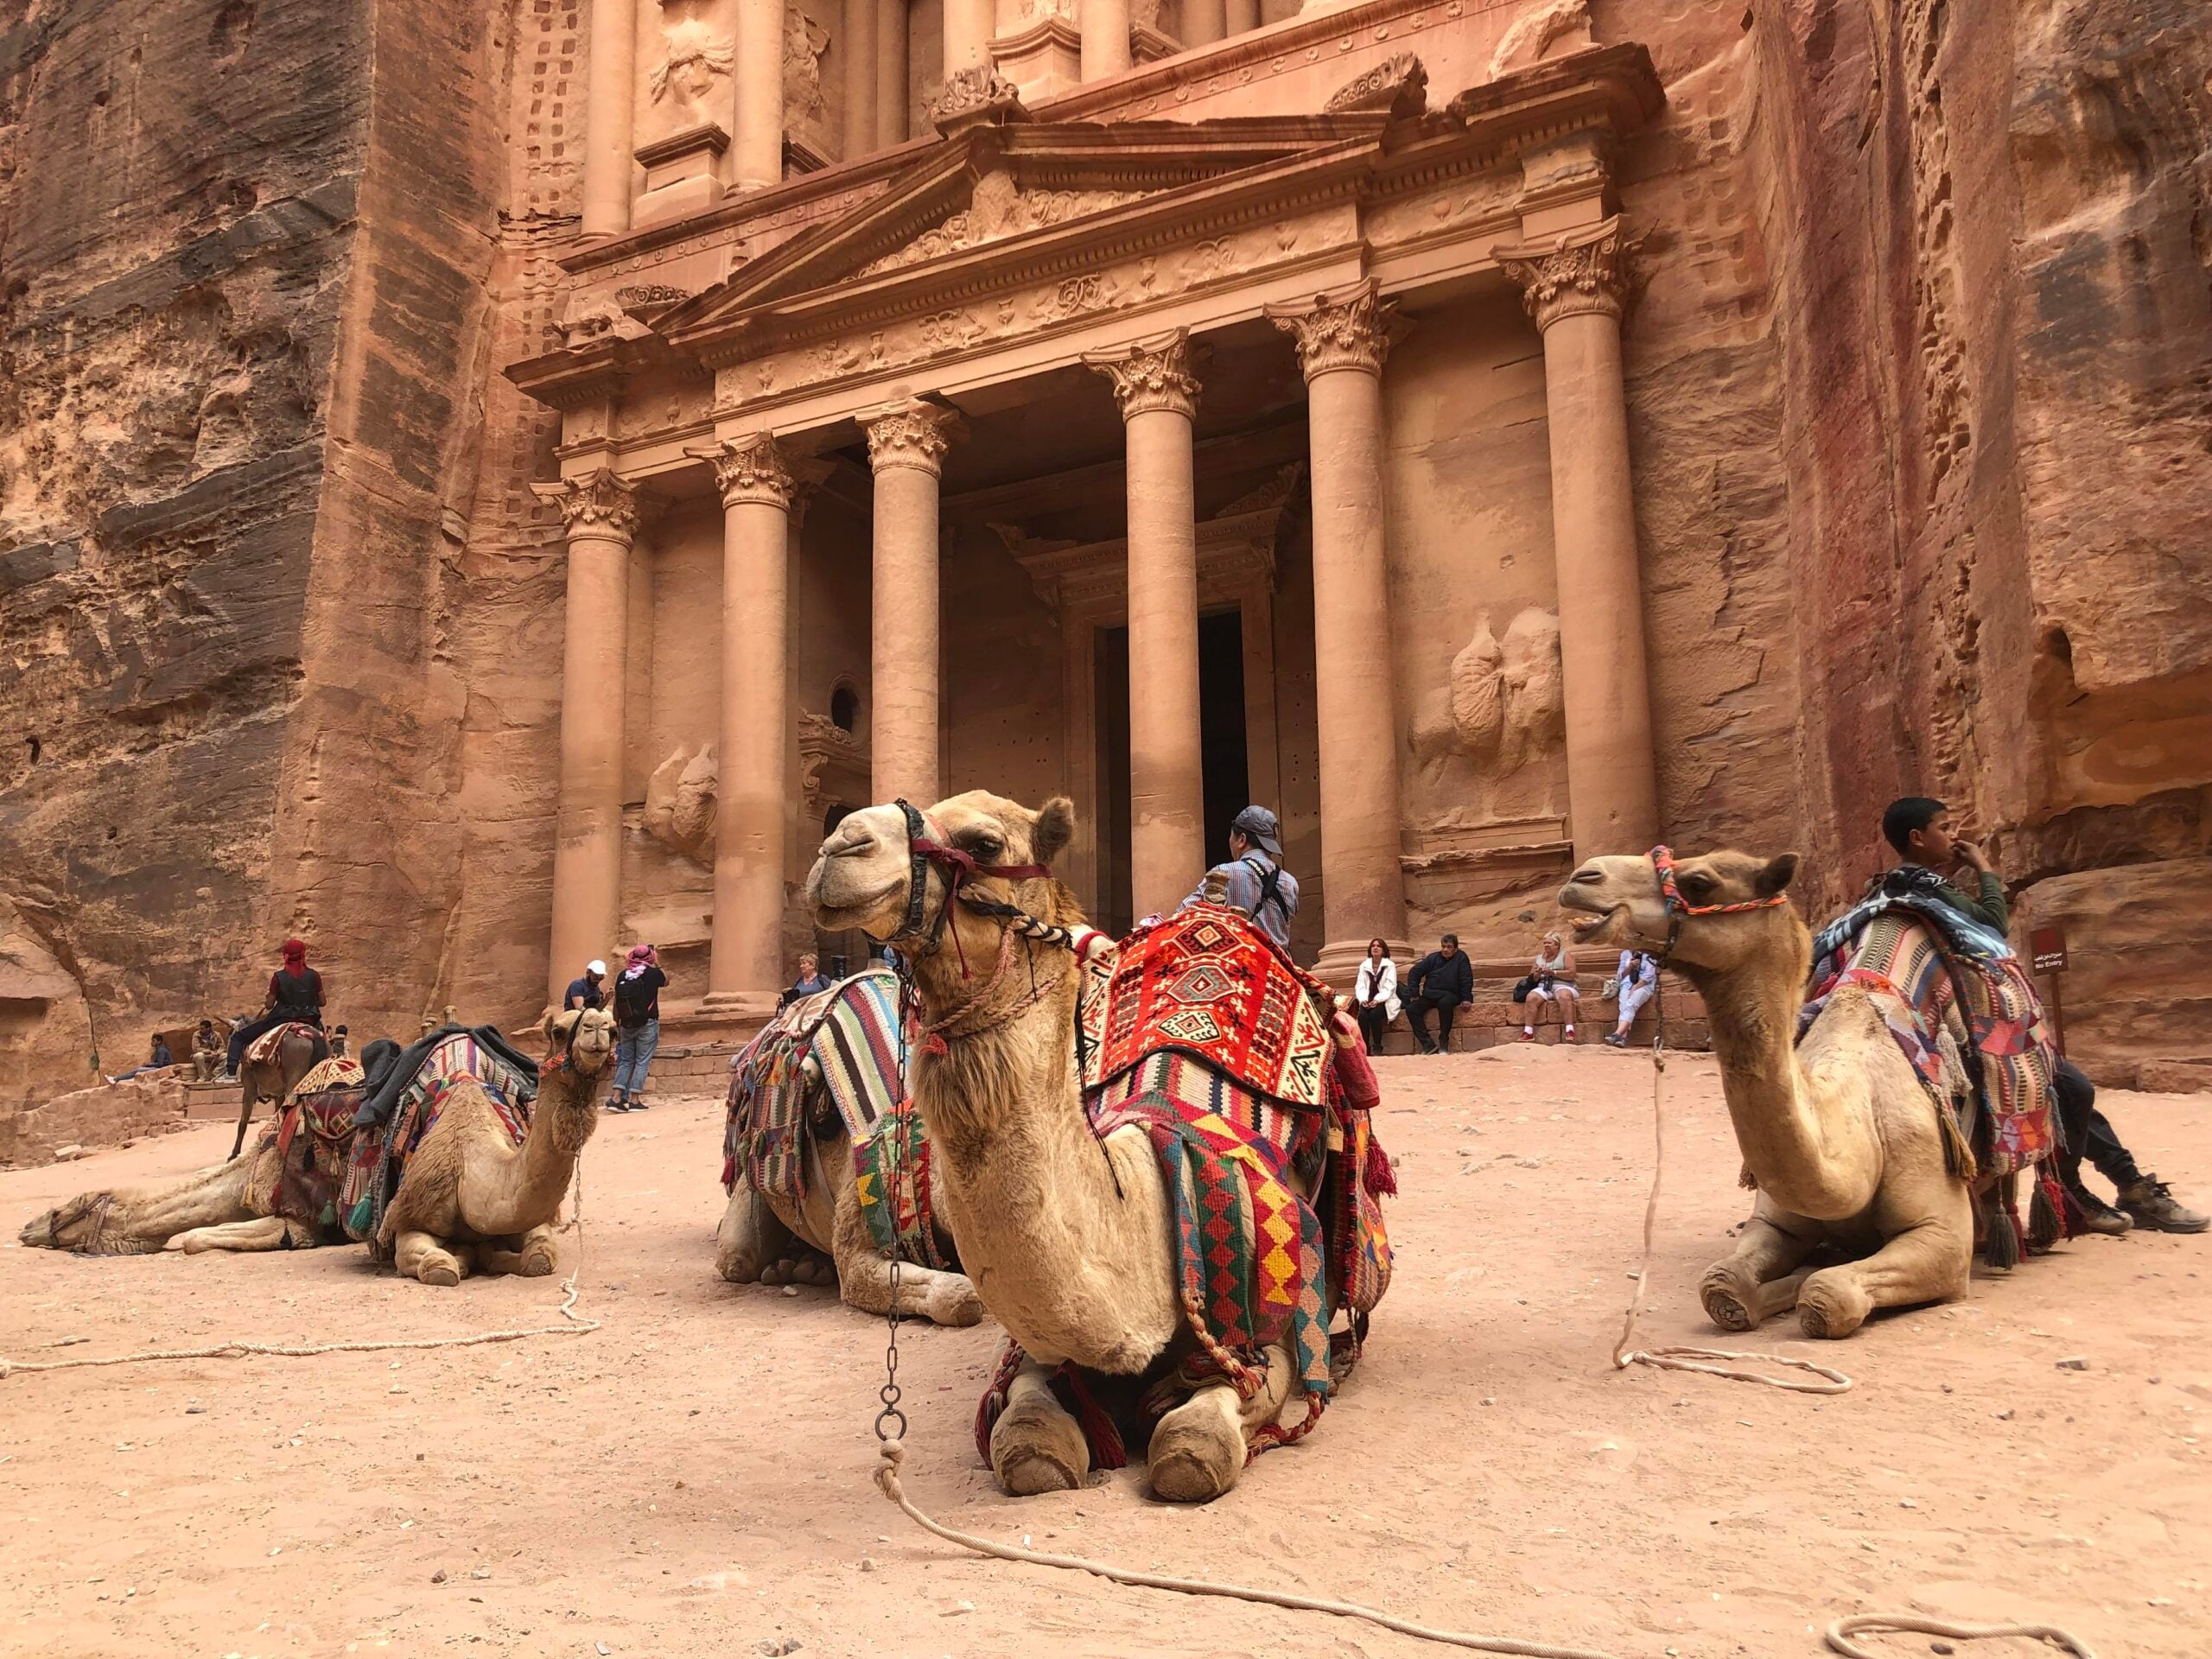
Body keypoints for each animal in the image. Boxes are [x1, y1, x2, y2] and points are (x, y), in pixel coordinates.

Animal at [233, 1024, 329, 1158]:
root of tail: (310, 1034)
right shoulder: (278, 1095)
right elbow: (277, 1115)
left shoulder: (249, 1090)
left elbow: (243, 1123)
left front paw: (233, 1154)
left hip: (293, 1085)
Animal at [807, 790, 1335, 1504]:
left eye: (983, 844)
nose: (840, 847)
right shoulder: (1034, 1348)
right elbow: (1025, 1436)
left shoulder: (1273, 1325)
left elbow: (1198, 1443)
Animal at [1556, 847, 1989, 1340]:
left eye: (1699, 883)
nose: (1583, 876)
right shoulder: (1774, 1221)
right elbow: (1722, 1282)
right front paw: (1786, 1280)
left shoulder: (1943, 1236)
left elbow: (1828, 1293)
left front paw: (1813, 1280)